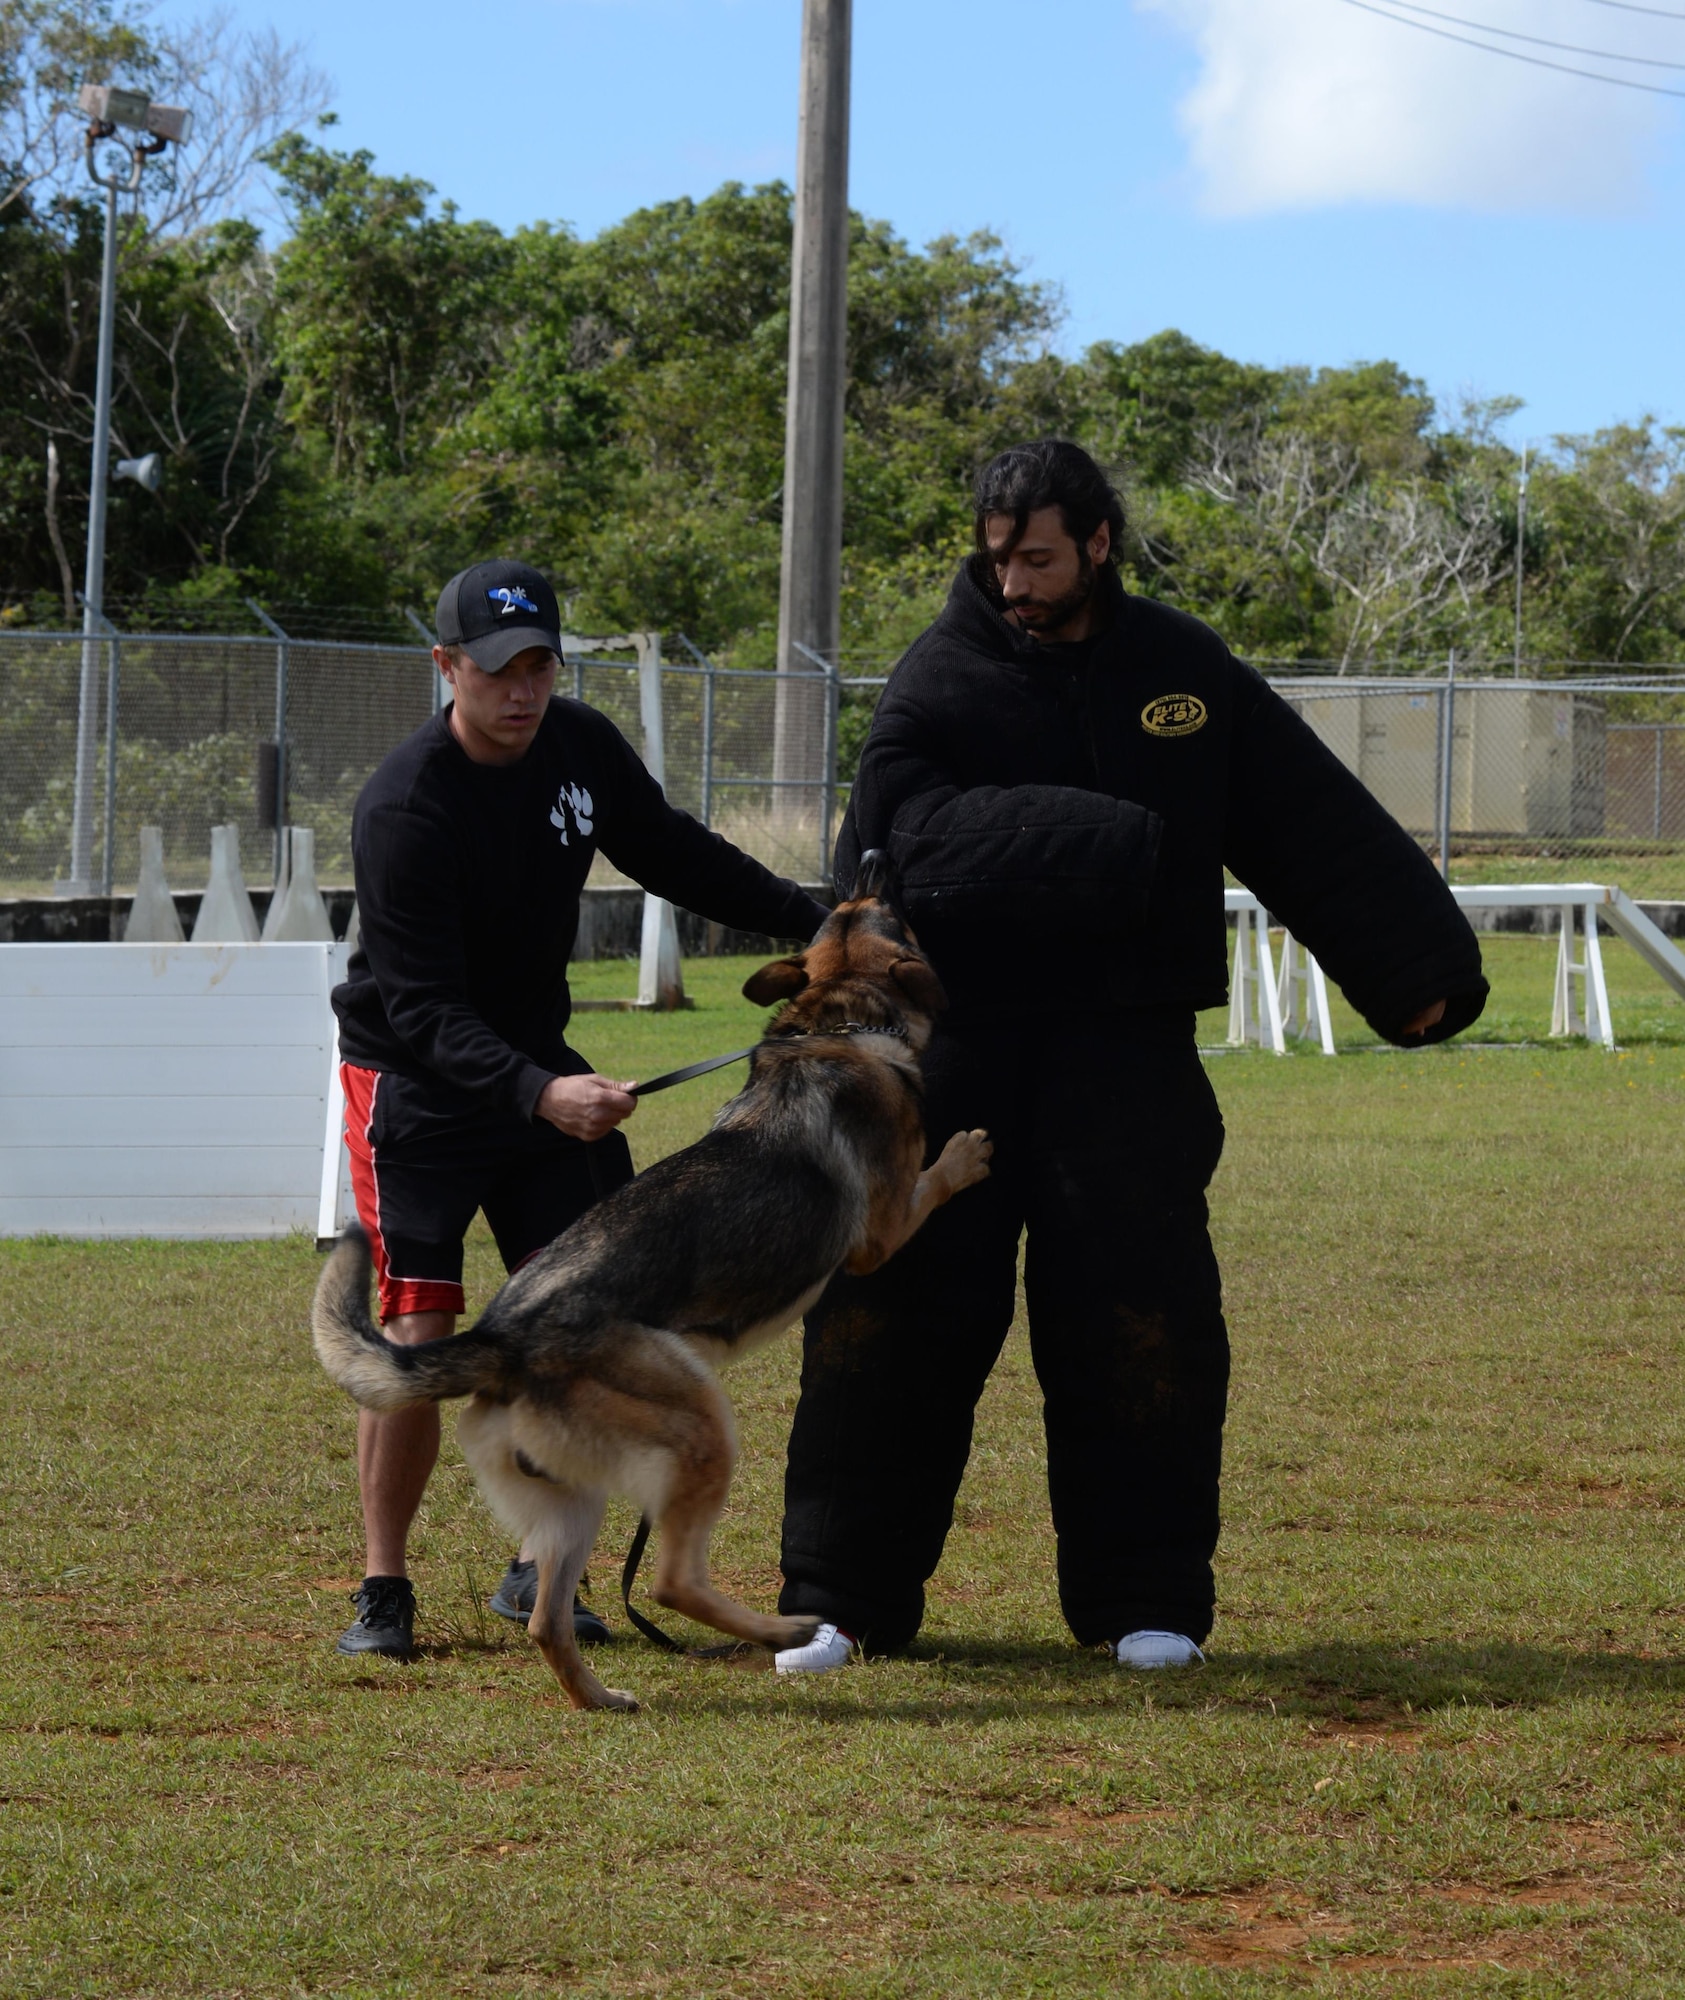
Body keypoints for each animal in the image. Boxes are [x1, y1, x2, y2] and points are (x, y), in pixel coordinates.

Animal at [310, 852, 992, 1712]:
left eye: (850, 909)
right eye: (887, 911)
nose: (866, 862)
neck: (836, 1022)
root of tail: (502, 1337)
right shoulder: (880, 1232)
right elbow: (932, 1183)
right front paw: (965, 1155)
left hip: (575, 1501)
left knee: (547, 1621)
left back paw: (600, 1697)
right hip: (701, 1422)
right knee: (669, 1581)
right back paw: (783, 1628)